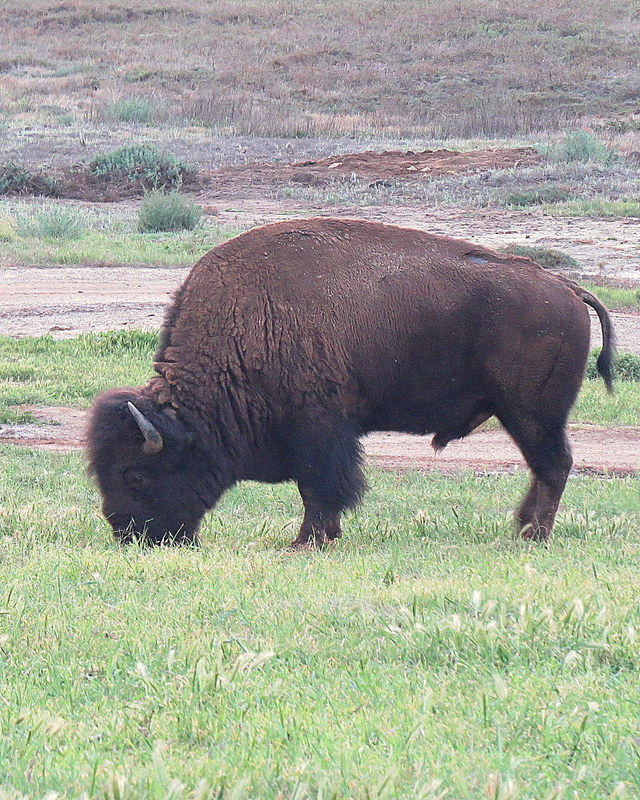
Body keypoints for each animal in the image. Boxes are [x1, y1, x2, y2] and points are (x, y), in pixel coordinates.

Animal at [87, 216, 612, 548]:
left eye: (136, 474)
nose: (131, 535)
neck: (244, 325)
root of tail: (568, 288)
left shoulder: (319, 429)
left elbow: (320, 486)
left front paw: (308, 541)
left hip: (533, 413)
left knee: (554, 465)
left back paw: (532, 537)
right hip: (523, 415)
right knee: (545, 467)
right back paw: (522, 530)